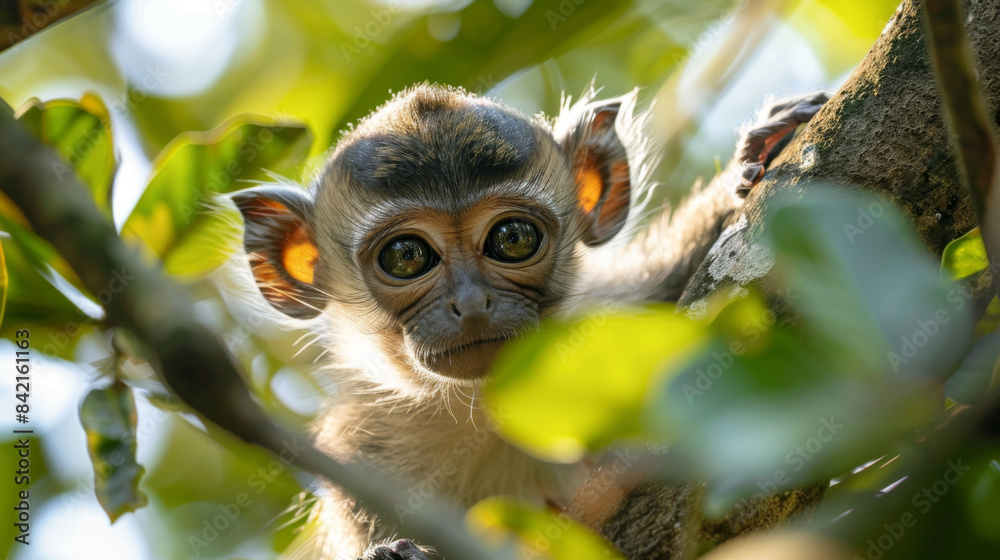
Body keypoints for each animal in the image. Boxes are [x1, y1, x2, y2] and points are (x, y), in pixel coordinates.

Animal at [230, 84, 829, 560]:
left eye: (512, 238)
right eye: (405, 255)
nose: (472, 303)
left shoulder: (625, 305)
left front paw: (762, 149)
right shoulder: (360, 460)